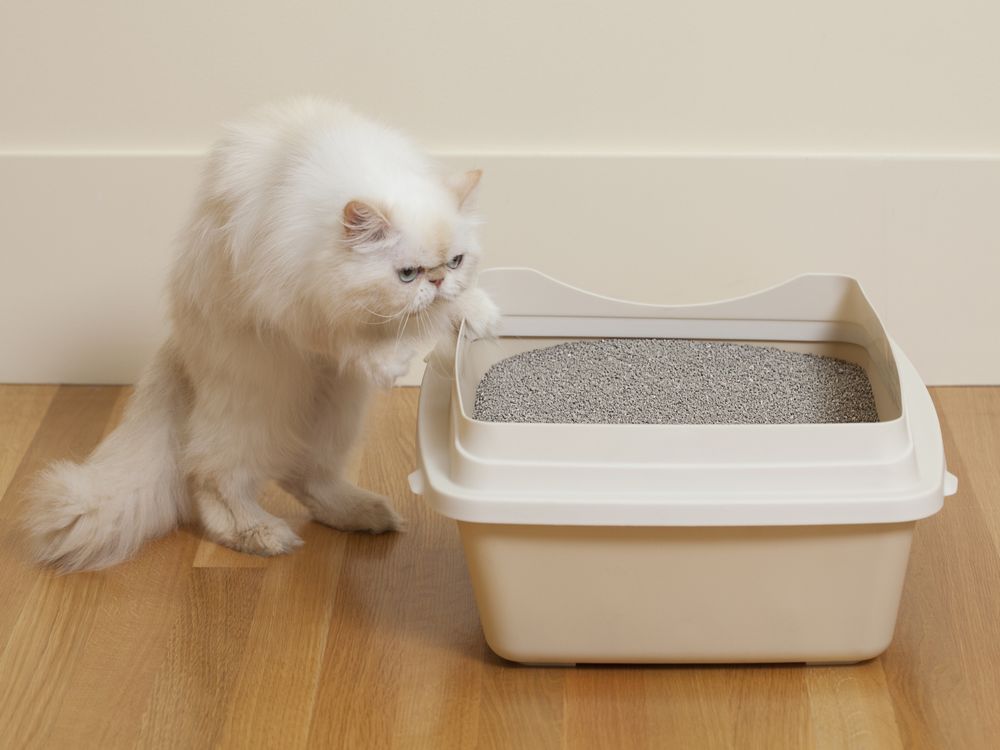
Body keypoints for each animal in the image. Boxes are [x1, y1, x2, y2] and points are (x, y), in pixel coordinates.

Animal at [26, 98, 500, 568]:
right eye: (407, 274)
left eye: (455, 261)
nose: (436, 281)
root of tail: (180, 341)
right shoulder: (295, 310)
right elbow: (354, 339)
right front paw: (391, 359)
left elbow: (455, 307)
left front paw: (478, 314)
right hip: (256, 406)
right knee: (210, 478)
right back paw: (263, 535)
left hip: (335, 407)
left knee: (305, 476)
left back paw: (364, 514)